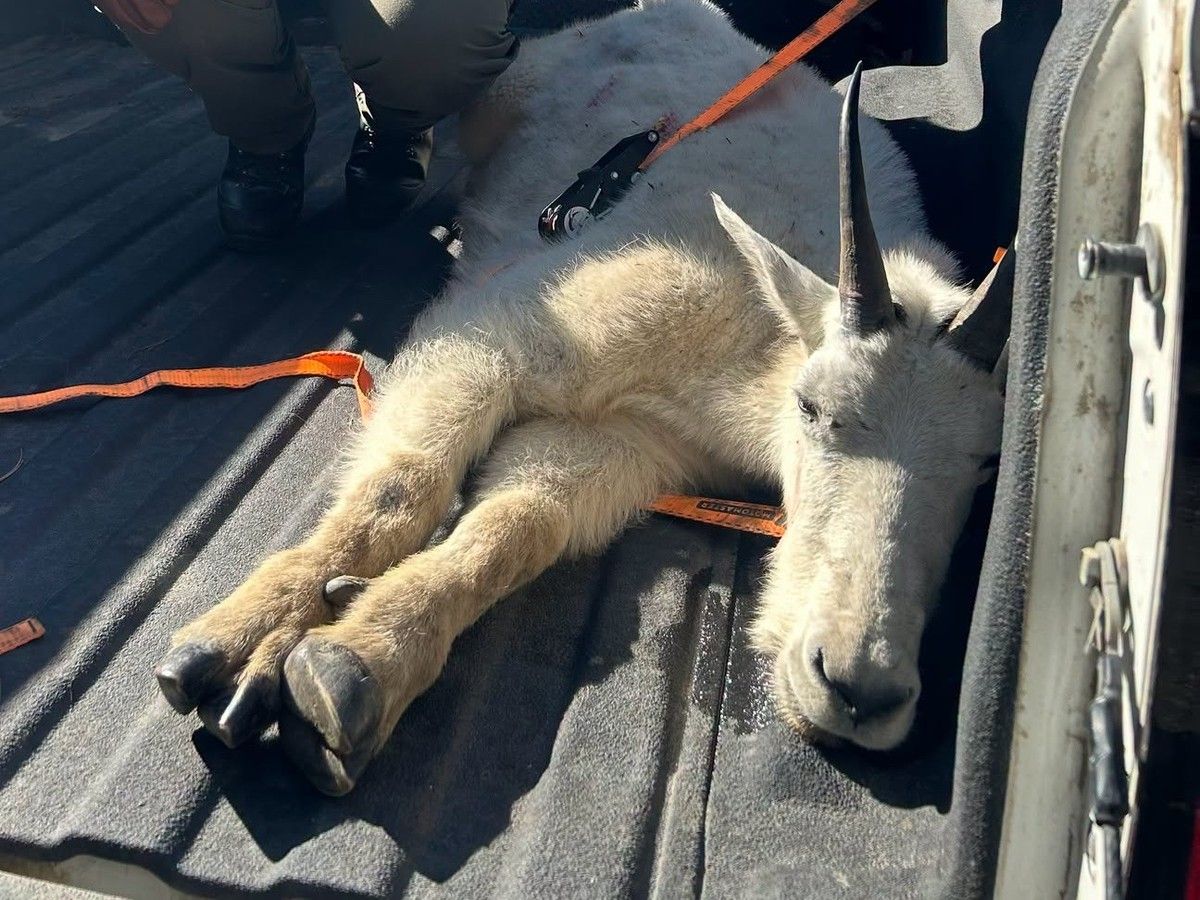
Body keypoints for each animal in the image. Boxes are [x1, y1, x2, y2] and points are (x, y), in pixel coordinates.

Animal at [154, 0, 1010, 795]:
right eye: (812, 407)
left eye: (983, 466)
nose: (861, 688)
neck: (747, 349)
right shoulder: (504, 331)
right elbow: (405, 483)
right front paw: (237, 644)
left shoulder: (632, 440)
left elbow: (522, 522)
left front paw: (350, 667)